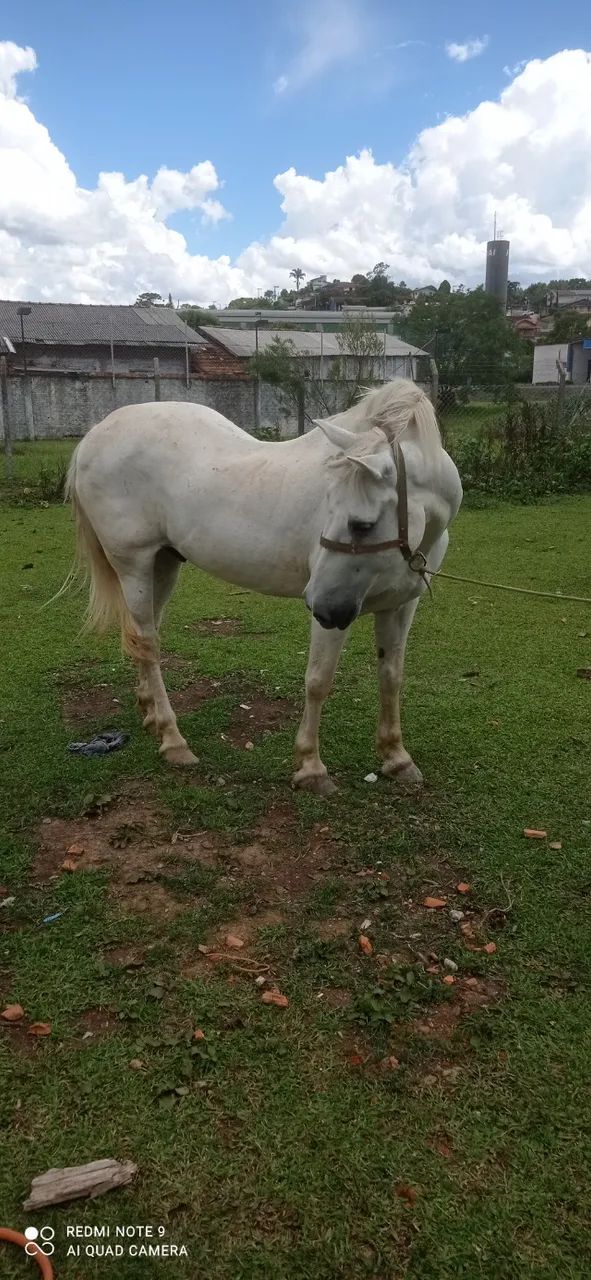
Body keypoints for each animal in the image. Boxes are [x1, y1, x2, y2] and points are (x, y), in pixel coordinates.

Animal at [63, 379, 462, 794]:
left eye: (361, 525)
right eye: (332, 508)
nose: (317, 605)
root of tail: (96, 434)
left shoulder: (399, 606)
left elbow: (391, 677)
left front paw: (397, 758)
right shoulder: (339, 612)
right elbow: (319, 681)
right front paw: (311, 767)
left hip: (163, 564)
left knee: (144, 638)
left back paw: (151, 714)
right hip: (134, 565)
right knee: (148, 643)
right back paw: (173, 740)